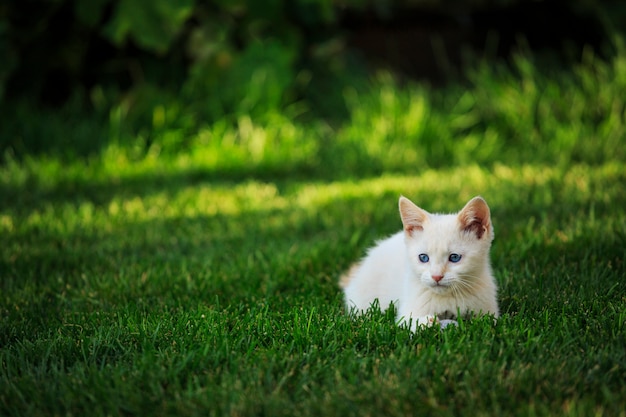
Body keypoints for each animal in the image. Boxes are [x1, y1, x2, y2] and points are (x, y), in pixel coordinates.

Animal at [338, 197, 500, 330]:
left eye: (454, 258)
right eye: (423, 258)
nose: (436, 276)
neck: (447, 298)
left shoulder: (488, 309)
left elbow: (488, 321)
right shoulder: (406, 313)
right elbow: (409, 322)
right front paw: (427, 322)